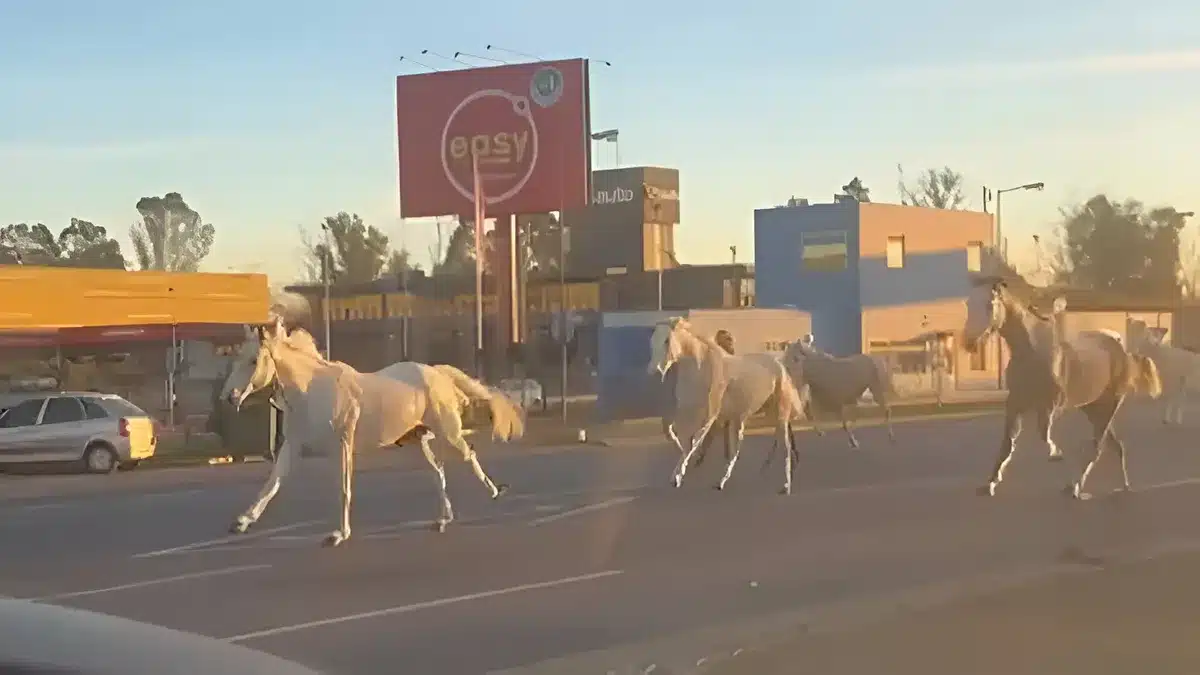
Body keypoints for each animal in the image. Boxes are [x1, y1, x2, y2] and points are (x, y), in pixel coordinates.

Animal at [225, 312, 525, 542]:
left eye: (253, 360)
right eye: (237, 358)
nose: (230, 397)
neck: (312, 390)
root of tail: (437, 373)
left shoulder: (342, 444)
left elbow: (344, 487)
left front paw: (339, 535)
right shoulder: (293, 445)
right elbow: (272, 483)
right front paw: (242, 521)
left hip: (448, 433)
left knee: (468, 455)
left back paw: (494, 492)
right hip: (416, 441)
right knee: (438, 471)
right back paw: (442, 519)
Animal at [648, 314, 806, 494]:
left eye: (667, 340)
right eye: (652, 340)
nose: (654, 370)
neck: (700, 369)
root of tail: (780, 366)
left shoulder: (710, 415)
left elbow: (694, 440)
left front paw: (678, 476)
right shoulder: (686, 410)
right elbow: (673, 432)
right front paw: (680, 469)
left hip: (778, 413)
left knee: (784, 445)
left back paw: (786, 486)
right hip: (744, 417)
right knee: (740, 447)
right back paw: (724, 481)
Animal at [955, 275, 1161, 499]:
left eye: (989, 304)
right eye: (968, 304)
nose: (968, 342)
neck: (1032, 354)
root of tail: (1123, 351)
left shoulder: (1051, 405)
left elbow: (1043, 433)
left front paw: (1056, 454)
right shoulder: (1015, 403)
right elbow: (1008, 443)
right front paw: (990, 484)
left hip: (1110, 405)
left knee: (1097, 446)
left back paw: (1076, 487)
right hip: (1092, 407)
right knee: (1115, 445)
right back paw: (1121, 486)